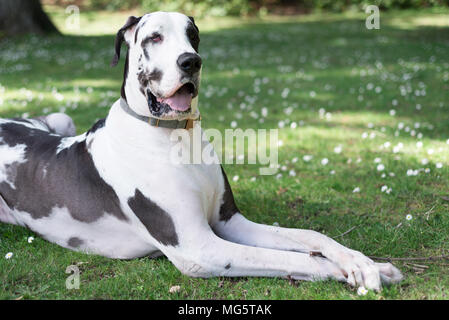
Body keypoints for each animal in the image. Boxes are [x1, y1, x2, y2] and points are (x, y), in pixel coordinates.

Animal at [0, 12, 400, 292]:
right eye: (155, 36)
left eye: (192, 35)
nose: (191, 61)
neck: (176, 137)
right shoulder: (200, 248)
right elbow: (299, 258)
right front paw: (344, 270)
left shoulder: (229, 221)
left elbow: (312, 237)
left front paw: (365, 262)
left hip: (61, 117)